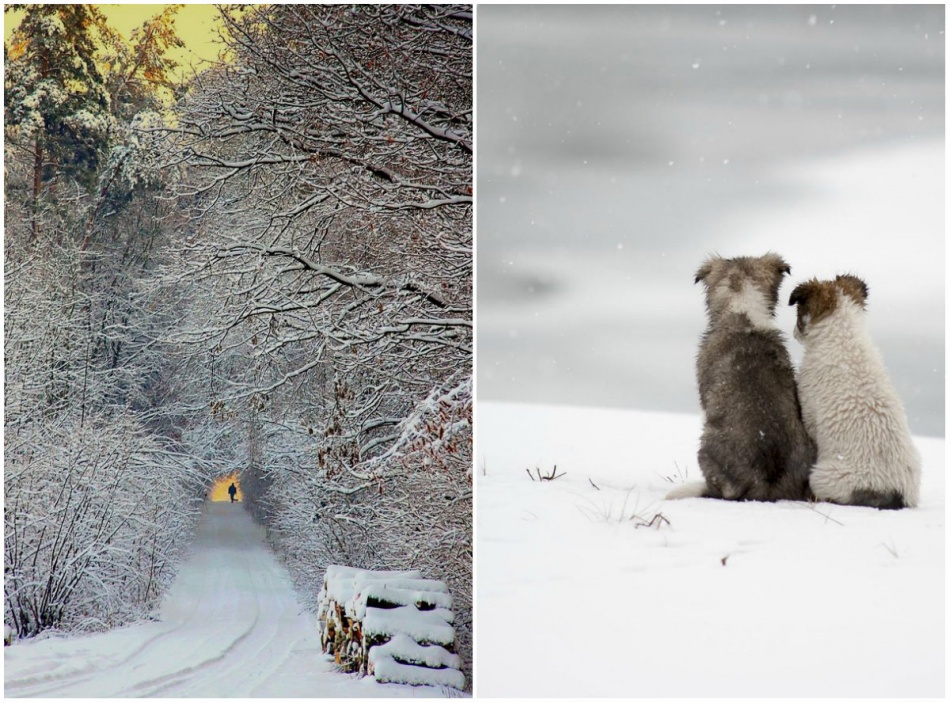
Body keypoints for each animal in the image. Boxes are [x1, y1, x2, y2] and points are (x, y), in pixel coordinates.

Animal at [788, 276, 924, 512]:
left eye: (799, 312)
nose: (794, 333)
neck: (843, 334)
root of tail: (896, 492)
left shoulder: (810, 412)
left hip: (825, 476)